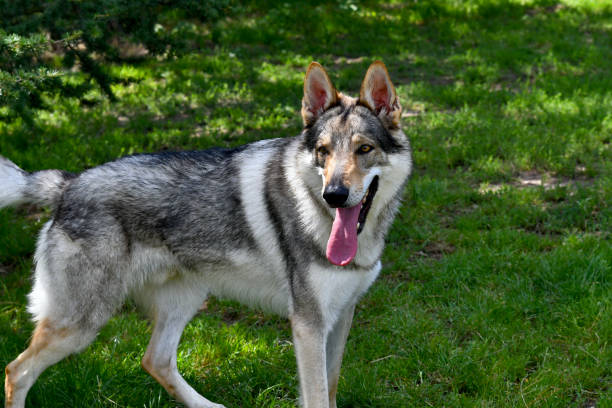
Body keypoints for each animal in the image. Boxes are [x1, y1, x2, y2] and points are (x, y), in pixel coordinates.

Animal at [1, 61, 412, 408]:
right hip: (82, 323)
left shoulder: (341, 315)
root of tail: (67, 184)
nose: (334, 195)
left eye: (364, 149)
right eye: (323, 152)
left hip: (185, 299)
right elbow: (317, 396)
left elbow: (331, 385)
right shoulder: (308, 325)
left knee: (154, 360)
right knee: (16, 370)